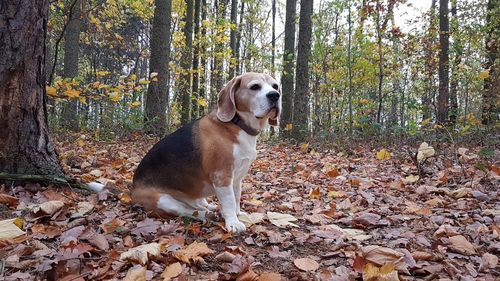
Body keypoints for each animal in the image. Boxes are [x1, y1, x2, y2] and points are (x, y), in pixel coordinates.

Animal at [129, 72, 280, 232]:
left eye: (275, 86)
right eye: (255, 87)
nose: (275, 95)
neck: (237, 124)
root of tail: (133, 189)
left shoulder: (237, 178)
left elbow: (236, 197)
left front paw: (238, 214)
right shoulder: (222, 176)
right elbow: (229, 201)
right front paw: (233, 222)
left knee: (197, 204)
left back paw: (209, 207)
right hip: (162, 200)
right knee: (186, 210)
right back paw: (206, 214)